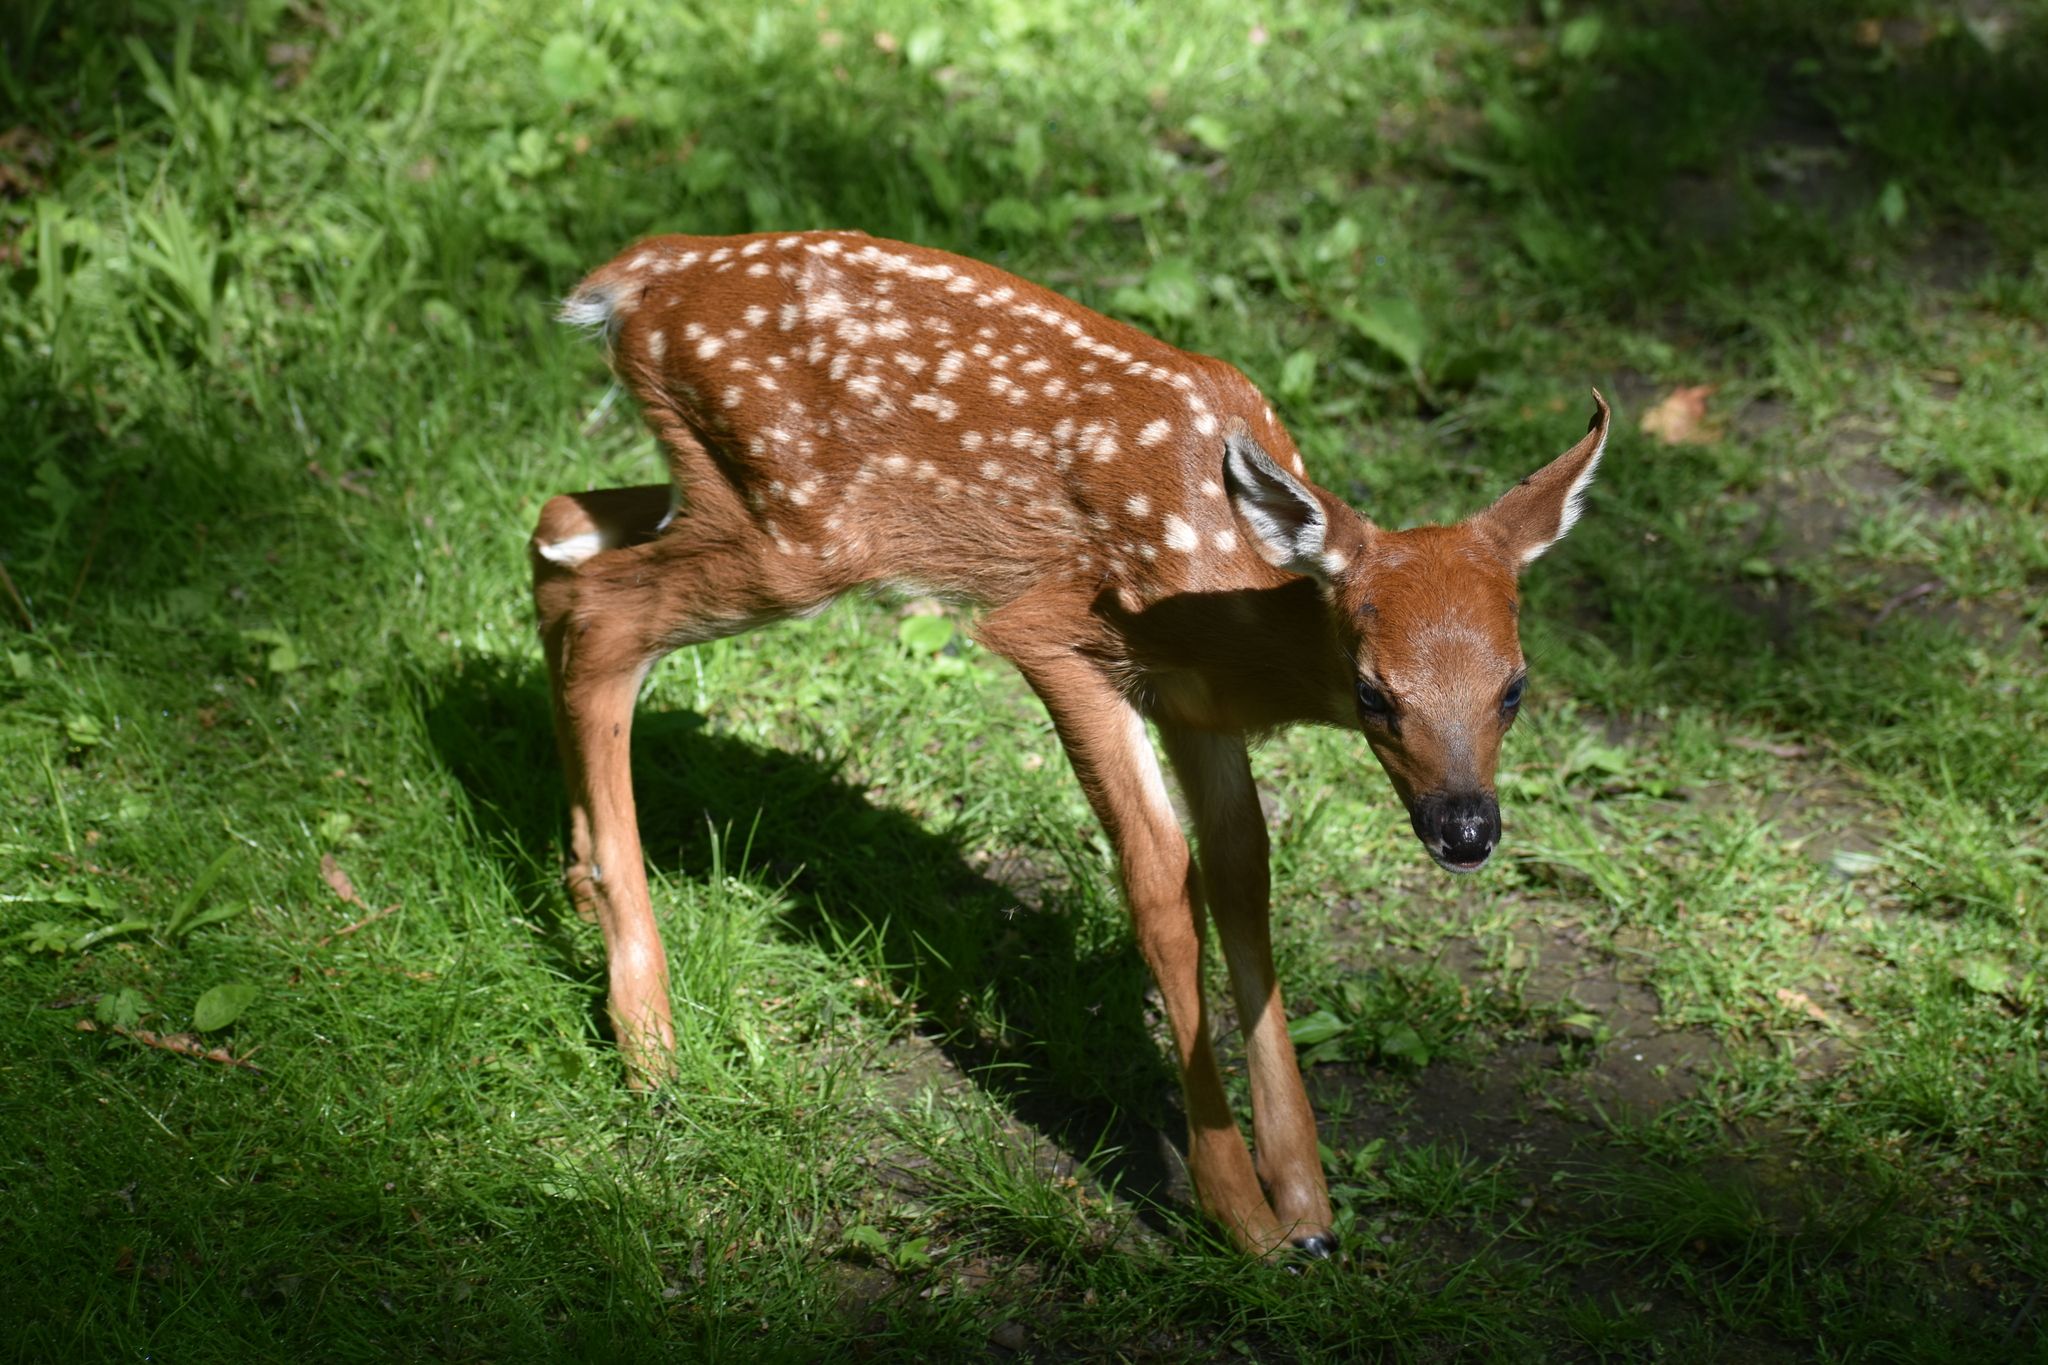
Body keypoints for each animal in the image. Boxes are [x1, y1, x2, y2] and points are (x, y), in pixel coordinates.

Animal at [531, 229, 1609, 1262]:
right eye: (1373, 693)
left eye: (1514, 687)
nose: (1464, 828)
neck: (1232, 594)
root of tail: (638, 278)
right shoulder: (1057, 636)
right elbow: (1161, 882)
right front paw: (1242, 1222)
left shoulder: (1198, 710)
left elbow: (1242, 875)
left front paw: (1308, 1207)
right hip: (796, 530)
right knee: (606, 611)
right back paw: (648, 1038)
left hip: (716, 492)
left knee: (559, 533)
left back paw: (581, 891)